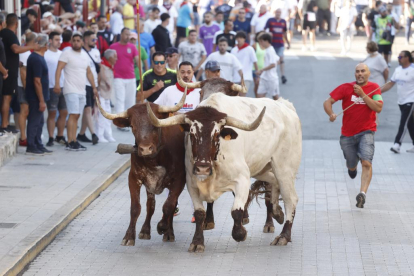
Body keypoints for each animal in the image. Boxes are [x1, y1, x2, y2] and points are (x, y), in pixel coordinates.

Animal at [95, 92, 188, 244]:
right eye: (132, 126)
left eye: (155, 125)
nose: (145, 149)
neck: (155, 158)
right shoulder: (134, 178)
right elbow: (136, 208)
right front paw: (129, 236)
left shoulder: (179, 180)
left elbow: (169, 205)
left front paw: (163, 227)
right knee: (150, 205)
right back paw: (145, 230)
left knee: (170, 205)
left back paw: (168, 232)